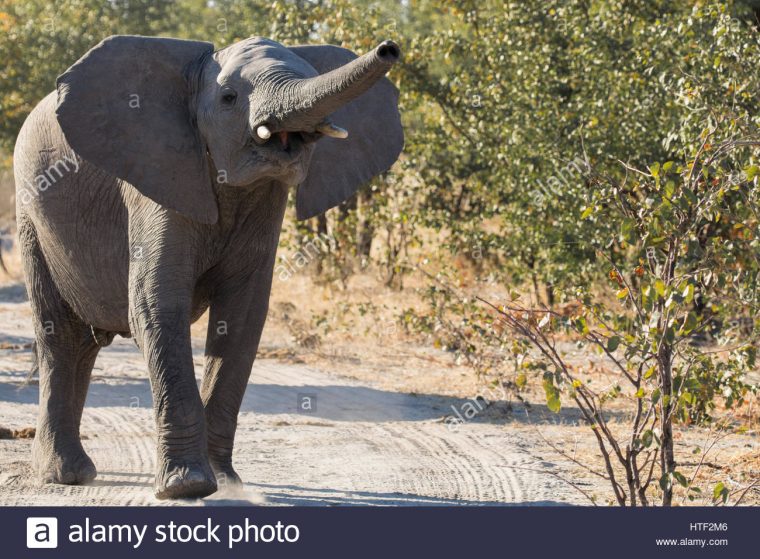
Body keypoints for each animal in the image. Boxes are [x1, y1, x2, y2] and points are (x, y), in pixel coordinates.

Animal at [11, 34, 404, 498]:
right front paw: (189, 486)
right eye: (229, 98)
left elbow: (243, 317)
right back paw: (64, 475)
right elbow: (157, 306)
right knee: (60, 336)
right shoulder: (156, 181)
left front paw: (226, 482)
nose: (389, 48)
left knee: (83, 344)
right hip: (30, 213)